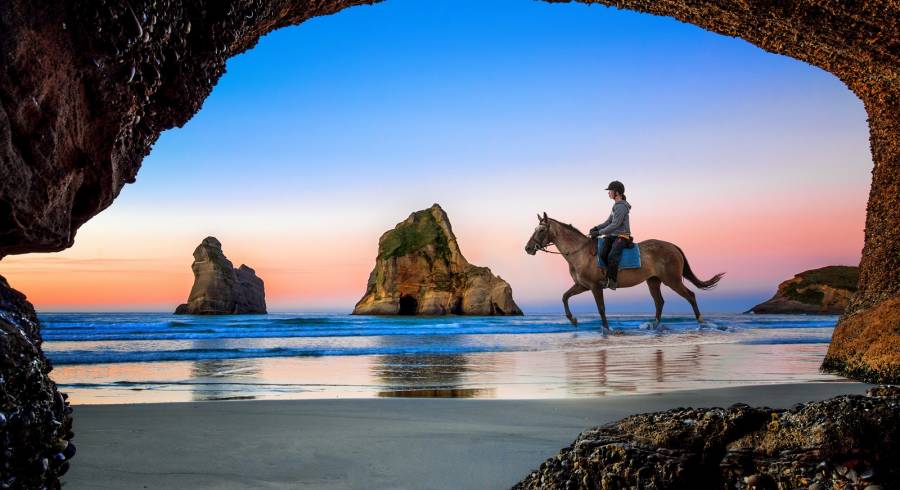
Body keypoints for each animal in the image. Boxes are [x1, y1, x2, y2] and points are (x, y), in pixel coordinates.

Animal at [520, 212, 724, 334]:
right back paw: (654, 326)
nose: (528, 248)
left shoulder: (594, 287)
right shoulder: (582, 286)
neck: (580, 252)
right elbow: (564, 297)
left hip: (672, 280)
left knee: (690, 295)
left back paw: (701, 323)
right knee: (659, 302)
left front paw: (606, 330)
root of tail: (673, 246)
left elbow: (601, 308)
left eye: (542, 230)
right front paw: (573, 320)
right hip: (653, 281)